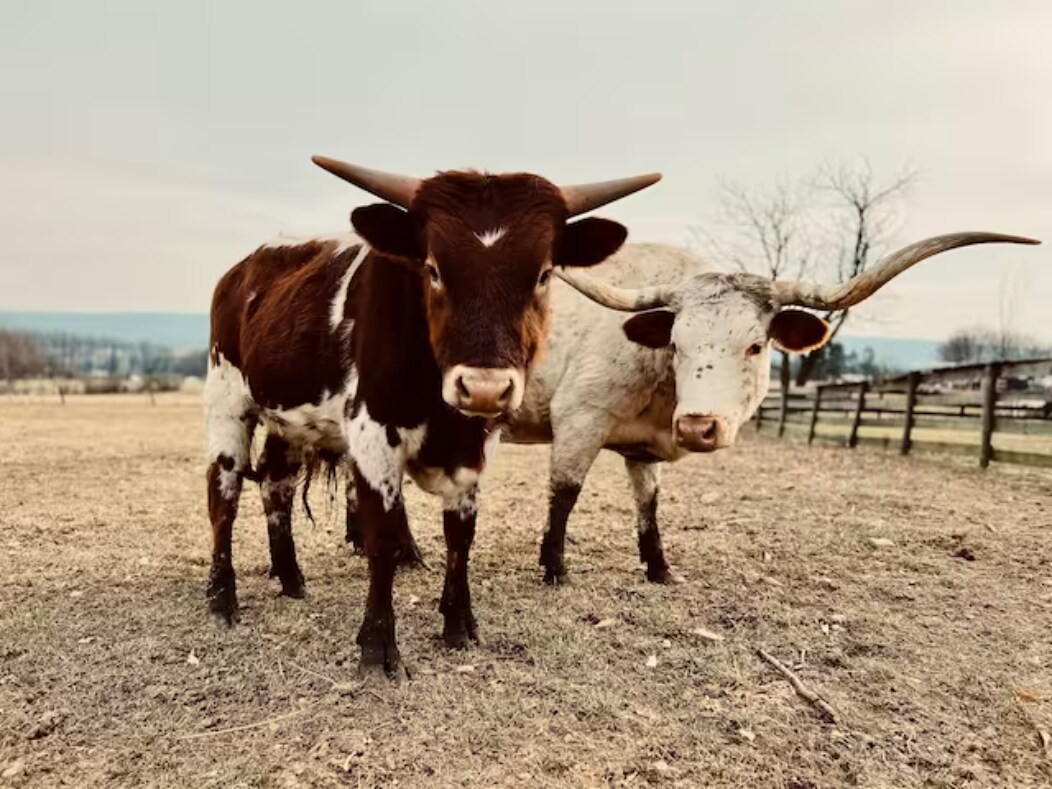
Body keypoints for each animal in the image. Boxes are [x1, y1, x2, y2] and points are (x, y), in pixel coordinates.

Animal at [205, 158, 656, 681]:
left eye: (544, 274)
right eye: (434, 269)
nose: (483, 387)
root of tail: (242, 269)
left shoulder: (476, 447)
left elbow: (460, 536)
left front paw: (459, 625)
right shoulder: (373, 435)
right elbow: (381, 536)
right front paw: (378, 647)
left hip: (291, 422)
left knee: (275, 487)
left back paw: (291, 578)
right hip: (226, 400)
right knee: (223, 496)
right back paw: (222, 599)